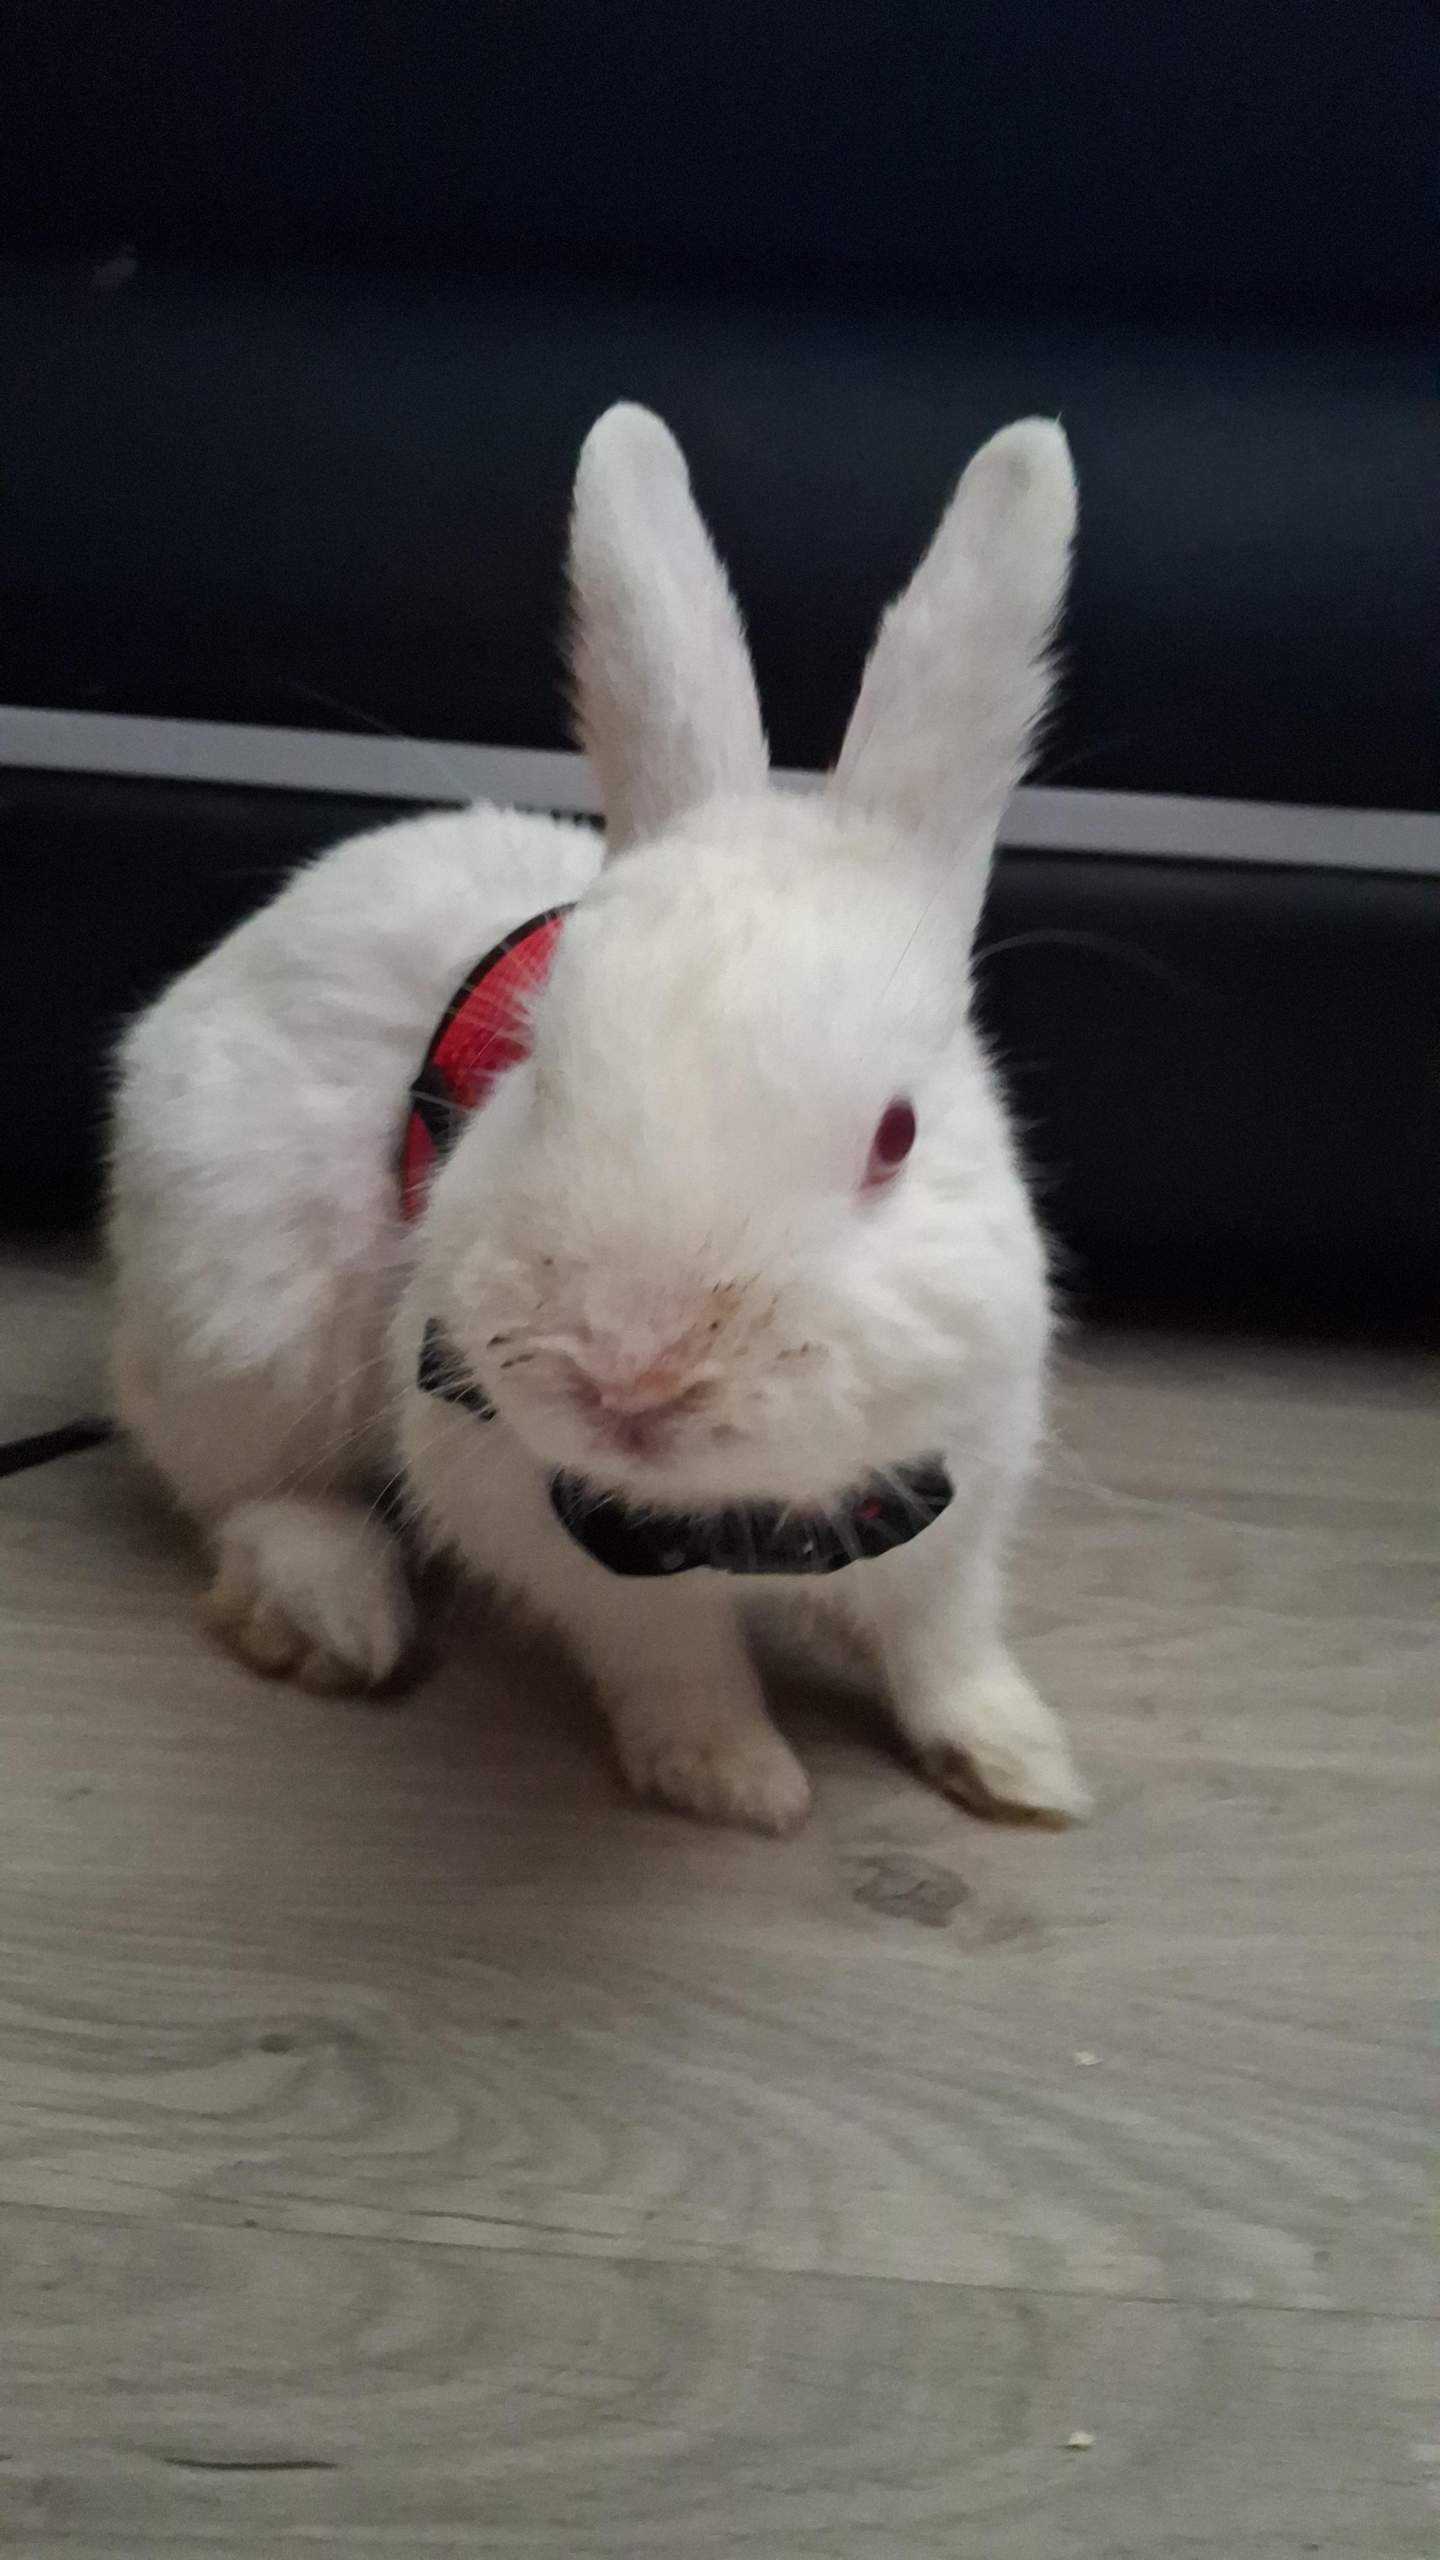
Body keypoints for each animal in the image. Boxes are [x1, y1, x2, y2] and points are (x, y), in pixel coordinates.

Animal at [108, 401, 1090, 1836]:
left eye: (897, 1136)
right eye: (541, 1070)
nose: (633, 1372)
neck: (726, 1511)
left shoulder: (959, 1489)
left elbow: (939, 1641)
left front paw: (1021, 1768)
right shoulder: (542, 1518)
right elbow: (674, 1658)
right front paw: (736, 1783)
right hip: (244, 1331)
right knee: (242, 1487)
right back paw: (334, 1611)